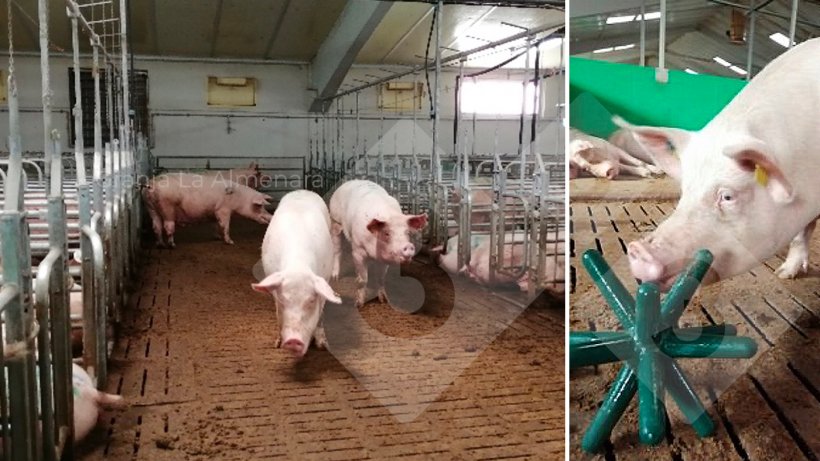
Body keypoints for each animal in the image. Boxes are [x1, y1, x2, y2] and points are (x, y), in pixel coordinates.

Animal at [140, 172, 270, 246]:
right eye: (260, 206)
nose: (270, 216)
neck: (239, 198)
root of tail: (151, 184)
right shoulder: (223, 210)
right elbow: (225, 226)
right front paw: (231, 242)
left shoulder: (214, 211)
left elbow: (216, 224)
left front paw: (217, 237)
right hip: (167, 207)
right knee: (167, 226)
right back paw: (172, 245)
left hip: (150, 207)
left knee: (156, 226)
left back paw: (160, 244)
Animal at [250, 189, 340, 358]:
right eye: (283, 300)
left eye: (311, 301)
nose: (293, 340)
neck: (298, 266)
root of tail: (303, 190)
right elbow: (278, 314)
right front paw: (277, 344)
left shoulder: (324, 278)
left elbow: (320, 313)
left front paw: (323, 346)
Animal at [620, 37, 820, 290]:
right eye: (684, 191)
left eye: (727, 196)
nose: (638, 251)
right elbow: (801, 232)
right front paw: (783, 274)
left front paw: (783, 274)